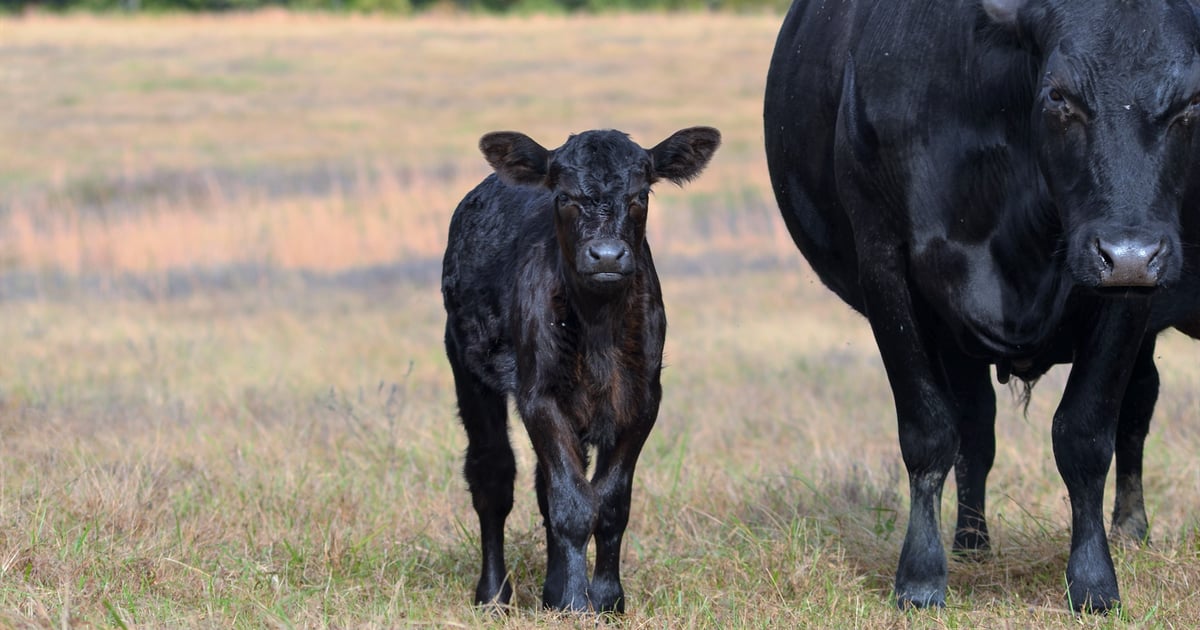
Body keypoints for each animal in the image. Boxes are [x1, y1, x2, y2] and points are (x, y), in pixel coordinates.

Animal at [441, 126, 720, 612]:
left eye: (641, 195)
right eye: (565, 197)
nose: (606, 256)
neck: (598, 330)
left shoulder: (643, 401)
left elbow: (608, 504)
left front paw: (606, 600)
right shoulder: (539, 396)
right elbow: (572, 504)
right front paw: (574, 602)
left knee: (543, 485)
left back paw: (549, 590)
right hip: (467, 365)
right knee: (492, 475)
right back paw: (494, 594)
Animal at [763, 0, 1200, 612]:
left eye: (1192, 102)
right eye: (1059, 96)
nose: (1129, 252)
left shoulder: (1130, 291)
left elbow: (1086, 434)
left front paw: (1094, 579)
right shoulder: (885, 262)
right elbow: (929, 430)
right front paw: (921, 576)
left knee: (1133, 409)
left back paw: (1130, 531)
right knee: (979, 426)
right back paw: (971, 542)